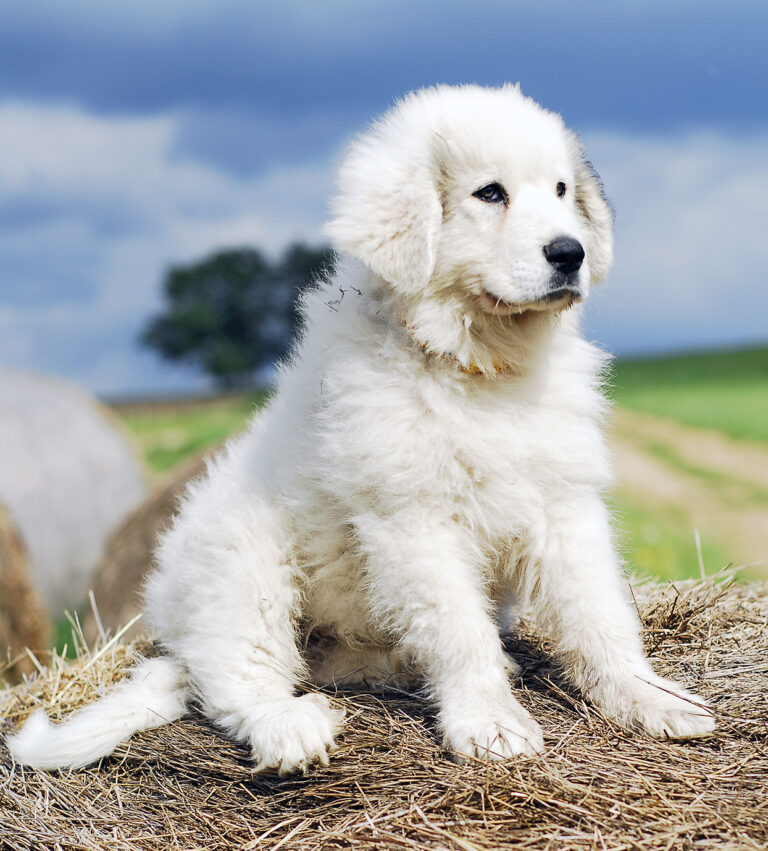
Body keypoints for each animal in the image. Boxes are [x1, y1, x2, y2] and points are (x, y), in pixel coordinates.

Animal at [6, 85, 712, 772]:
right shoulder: (415, 519)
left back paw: (400, 667)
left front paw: (650, 700)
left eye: (563, 191)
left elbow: (600, 616)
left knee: (325, 661)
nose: (571, 253)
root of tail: (174, 640)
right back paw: (290, 727)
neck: (477, 365)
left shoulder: (564, 503)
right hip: (241, 561)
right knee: (238, 678)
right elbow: (460, 630)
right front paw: (490, 723)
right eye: (490, 193)